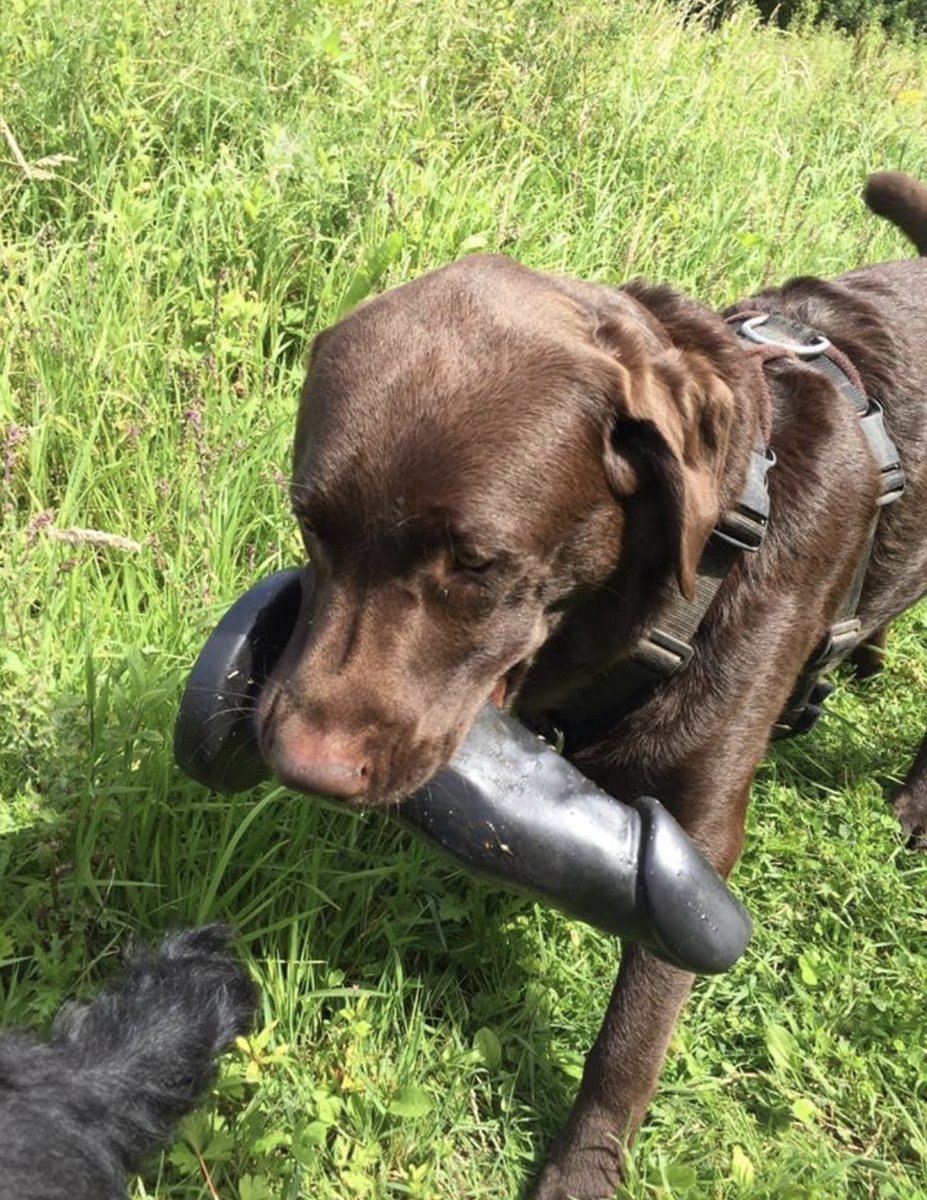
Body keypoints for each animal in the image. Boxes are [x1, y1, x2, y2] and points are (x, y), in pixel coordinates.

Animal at [253, 174, 927, 1195]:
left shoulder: (695, 843)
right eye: (310, 524)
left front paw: (583, 1165)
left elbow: (630, 1040)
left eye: (476, 563)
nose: (302, 768)